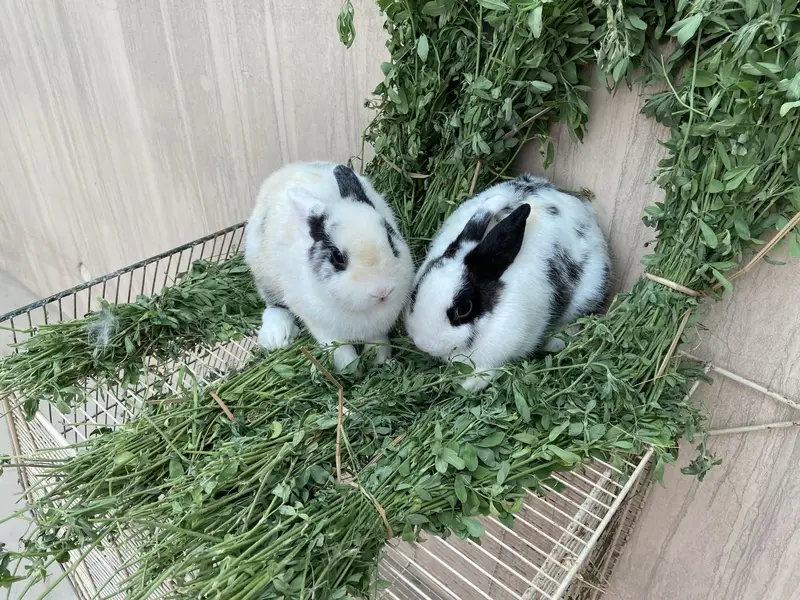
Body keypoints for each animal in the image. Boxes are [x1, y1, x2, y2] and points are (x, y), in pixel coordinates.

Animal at [244, 161, 414, 372]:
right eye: (338, 257)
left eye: (390, 241)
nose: (382, 291)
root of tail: (285, 169)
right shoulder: (322, 327)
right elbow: (340, 351)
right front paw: (351, 369)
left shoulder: (378, 329)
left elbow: (378, 344)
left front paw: (379, 362)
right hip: (264, 274)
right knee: (274, 305)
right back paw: (276, 337)